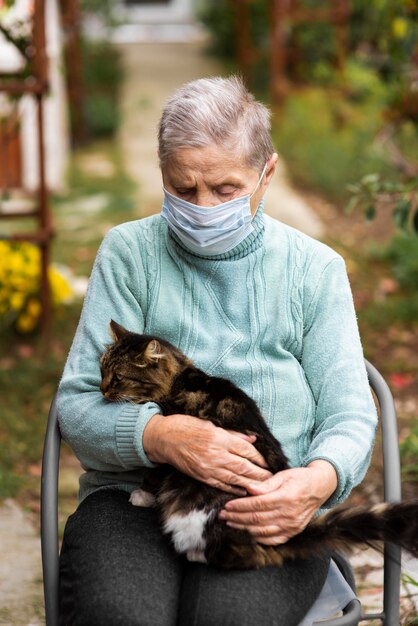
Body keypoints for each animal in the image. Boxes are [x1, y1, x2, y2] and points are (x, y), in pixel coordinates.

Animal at [100, 320, 418, 568]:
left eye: (118, 377)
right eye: (102, 368)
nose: (101, 389)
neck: (180, 378)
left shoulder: (171, 450)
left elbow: (152, 475)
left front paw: (141, 495)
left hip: (203, 515)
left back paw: (194, 553)